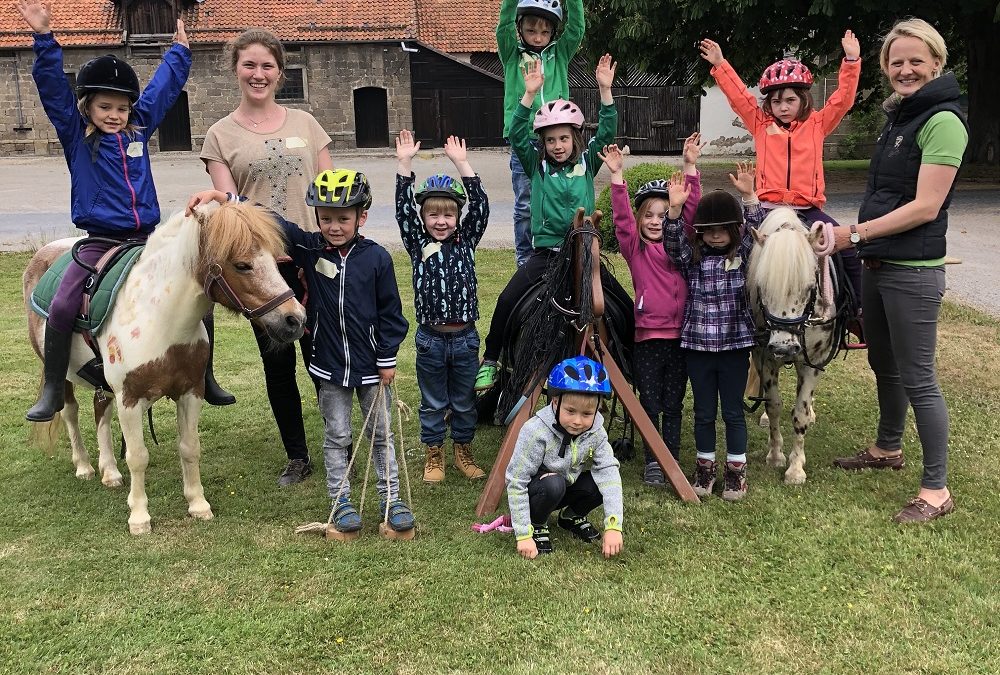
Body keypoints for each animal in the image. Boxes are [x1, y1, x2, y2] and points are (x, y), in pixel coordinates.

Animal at [23, 203, 304, 536]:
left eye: (276, 260)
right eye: (242, 265)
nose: (295, 319)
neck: (159, 318)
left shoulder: (191, 392)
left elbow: (189, 447)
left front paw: (198, 504)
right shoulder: (129, 399)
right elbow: (137, 457)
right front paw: (139, 517)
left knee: (100, 410)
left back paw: (110, 471)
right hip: (62, 373)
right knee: (70, 413)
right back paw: (84, 466)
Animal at [752, 207, 844, 486]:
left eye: (810, 287)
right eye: (762, 287)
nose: (784, 348)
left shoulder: (812, 361)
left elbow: (799, 414)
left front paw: (795, 468)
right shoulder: (764, 357)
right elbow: (773, 405)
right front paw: (775, 455)